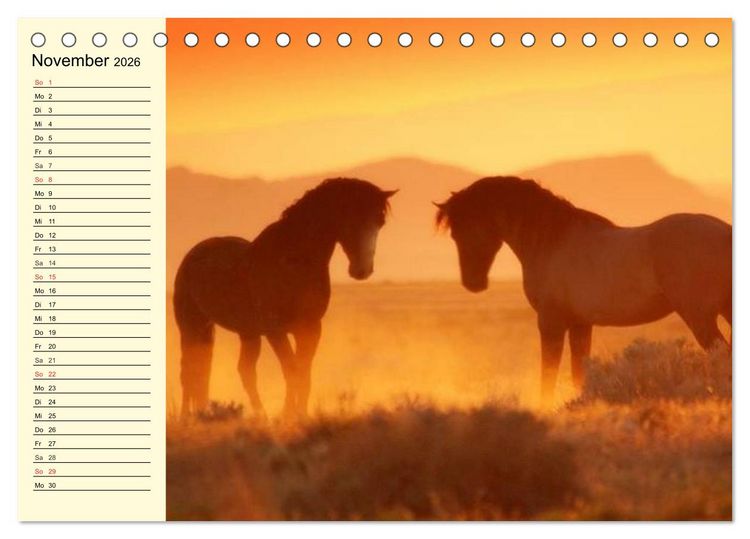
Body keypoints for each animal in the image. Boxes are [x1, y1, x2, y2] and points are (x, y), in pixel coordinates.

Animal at [174, 178, 396, 419]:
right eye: (351, 216)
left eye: (380, 222)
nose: (362, 270)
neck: (293, 262)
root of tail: (193, 255)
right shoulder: (276, 331)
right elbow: (291, 369)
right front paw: (287, 415)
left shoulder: (310, 328)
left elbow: (304, 373)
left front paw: (300, 415)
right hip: (191, 326)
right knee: (189, 370)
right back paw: (187, 417)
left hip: (246, 333)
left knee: (241, 371)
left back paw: (258, 416)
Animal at [435, 176, 731, 407]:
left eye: (464, 231)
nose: (473, 283)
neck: (551, 240)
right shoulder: (580, 324)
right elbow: (579, 370)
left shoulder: (551, 322)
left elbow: (549, 371)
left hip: (700, 317)